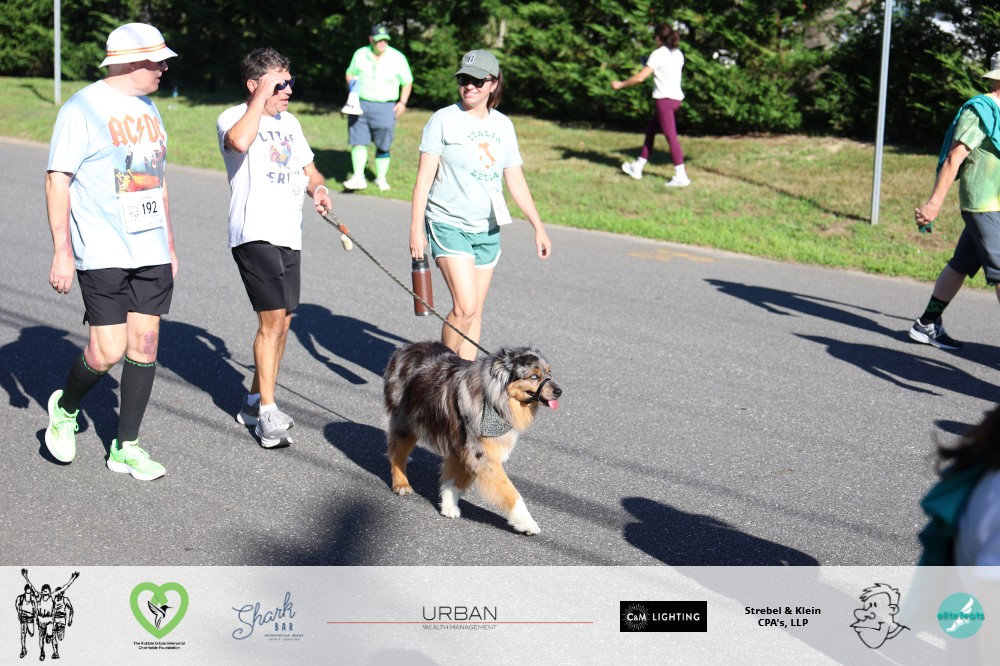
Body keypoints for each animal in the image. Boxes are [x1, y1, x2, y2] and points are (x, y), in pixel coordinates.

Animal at [383, 341, 562, 535]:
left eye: (549, 373)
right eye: (534, 376)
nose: (559, 391)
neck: (495, 398)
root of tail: (405, 348)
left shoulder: (463, 447)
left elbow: (454, 480)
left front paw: (449, 505)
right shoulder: (481, 454)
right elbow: (510, 491)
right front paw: (527, 523)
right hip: (405, 421)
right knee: (396, 450)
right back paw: (401, 483)